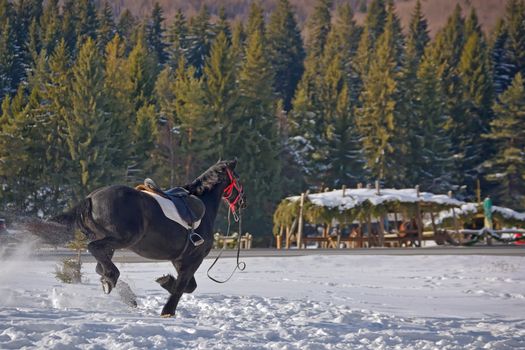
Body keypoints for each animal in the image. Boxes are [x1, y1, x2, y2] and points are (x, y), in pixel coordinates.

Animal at [47, 159, 244, 318]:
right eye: (238, 179)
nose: (243, 202)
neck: (204, 205)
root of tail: (91, 198)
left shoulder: (179, 259)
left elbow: (187, 285)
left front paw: (165, 281)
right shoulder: (194, 258)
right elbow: (182, 287)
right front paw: (168, 310)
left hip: (111, 243)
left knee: (99, 265)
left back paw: (123, 292)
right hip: (122, 239)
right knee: (95, 250)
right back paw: (112, 279)